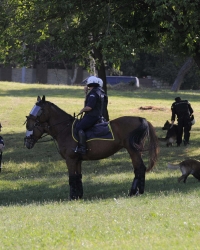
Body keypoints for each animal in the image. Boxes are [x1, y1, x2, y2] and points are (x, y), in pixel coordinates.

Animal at [24, 95, 159, 199]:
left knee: (139, 168)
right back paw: (137, 191)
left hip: (133, 150)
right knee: (139, 169)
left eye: (39, 110)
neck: (65, 129)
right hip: (136, 151)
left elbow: (71, 178)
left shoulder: (70, 159)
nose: (26, 142)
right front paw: (78, 196)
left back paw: (134, 192)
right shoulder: (77, 160)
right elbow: (78, 177)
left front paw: (72, 197)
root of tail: (141, 119)